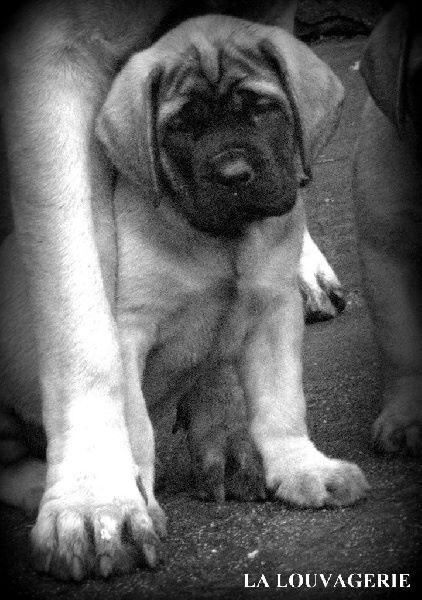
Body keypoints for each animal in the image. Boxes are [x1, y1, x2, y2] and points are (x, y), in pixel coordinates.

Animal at [0, 14, 369, 580]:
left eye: (262, 108)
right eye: (180, 127)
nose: (234, 176)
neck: (223, 241)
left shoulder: (273, 313)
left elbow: (282, 404)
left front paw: (301, 467)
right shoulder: (128, 333)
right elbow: (136, 429)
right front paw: (132, 506)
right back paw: (42, 485)